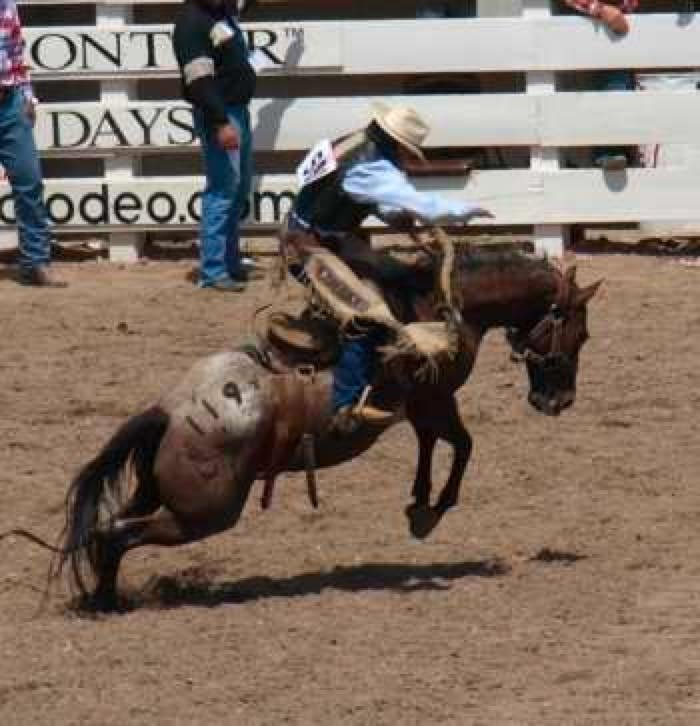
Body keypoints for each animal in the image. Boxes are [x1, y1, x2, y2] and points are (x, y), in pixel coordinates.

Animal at [4, 247, 601, 611]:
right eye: (580, 332)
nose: (559, 400)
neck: (441, 307)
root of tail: (170, 409)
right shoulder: (433, 398)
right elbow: (461, 444)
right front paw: (429, 512)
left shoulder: (423, 405)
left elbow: (435, 443)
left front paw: (418, 502)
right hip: (205, 511)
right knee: (117, 533)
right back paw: (110, 600)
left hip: (160, 491)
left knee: (111, 527)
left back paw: (103, 597)